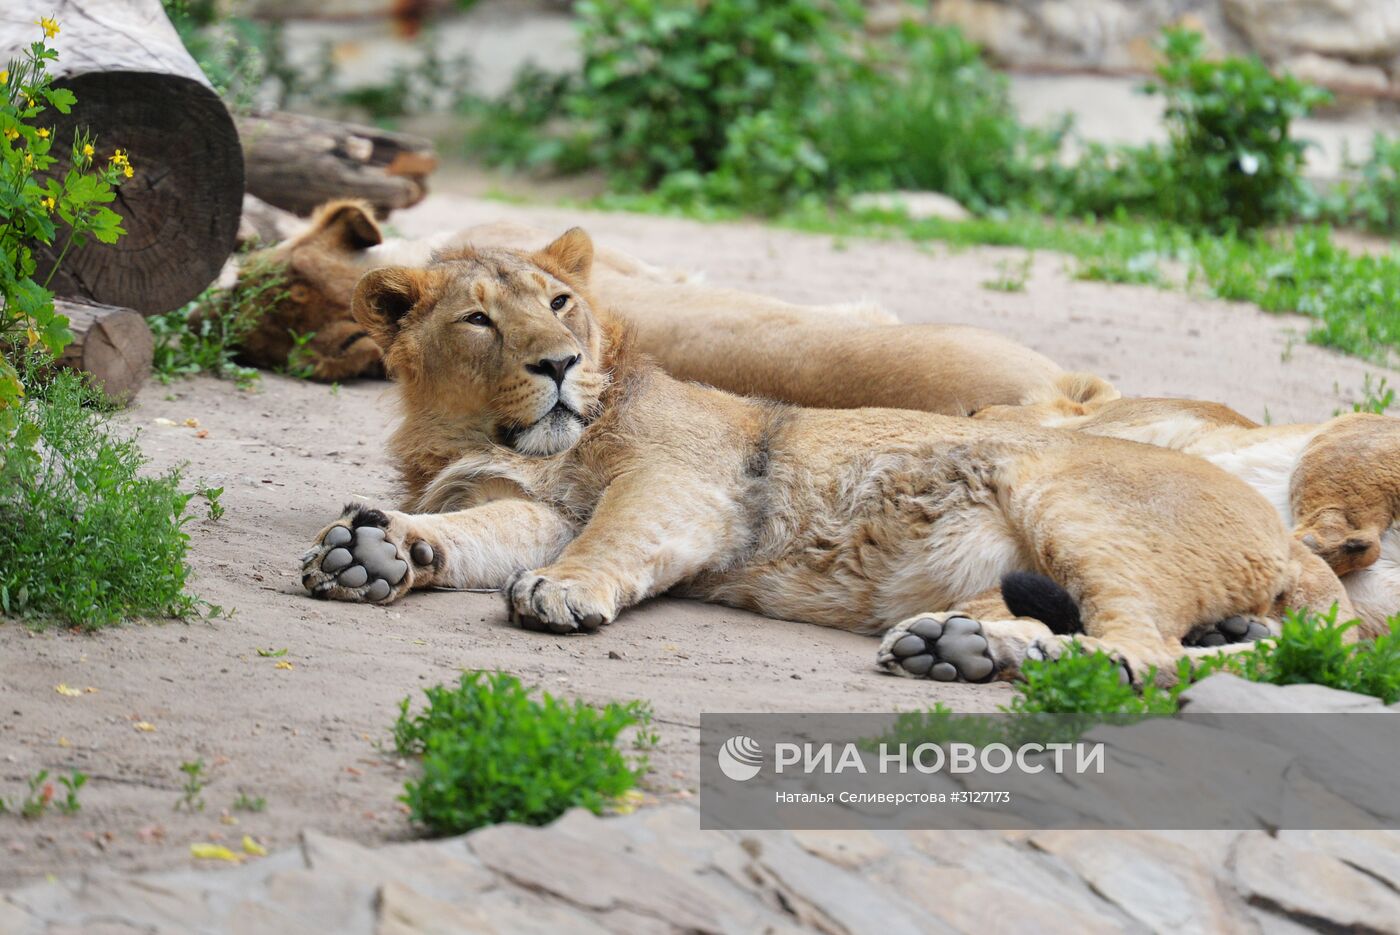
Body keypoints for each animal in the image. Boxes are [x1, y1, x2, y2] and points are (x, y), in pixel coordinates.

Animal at [292, 229, 1344, 683]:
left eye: (558, 303)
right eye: (478, 319)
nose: (558, 365)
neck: (482, 432)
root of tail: (1287, 536)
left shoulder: (689, 482)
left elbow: (608, 541)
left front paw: (560, 591)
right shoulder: (536, 502)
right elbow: (478, 532)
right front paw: (376, 549)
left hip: (1072, 502)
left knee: (1147, 652)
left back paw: (1017, 659)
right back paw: (954, 647)